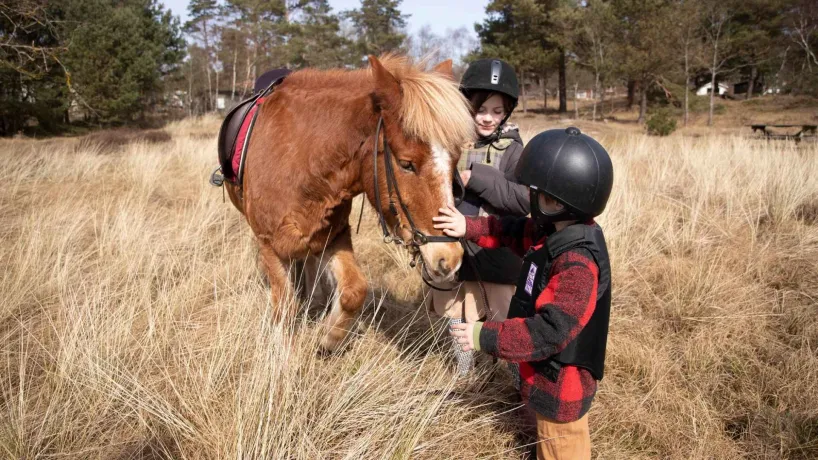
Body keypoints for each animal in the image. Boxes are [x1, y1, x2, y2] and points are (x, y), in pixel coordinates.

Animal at [226, 54, 474, 348]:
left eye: (455, 161)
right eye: (406, 164)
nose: (450, 258)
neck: (297, 160)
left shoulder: (333, 235)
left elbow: (355, 290)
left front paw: (329, 338)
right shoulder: (267, 244)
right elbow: (285, 306)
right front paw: (280, 350)